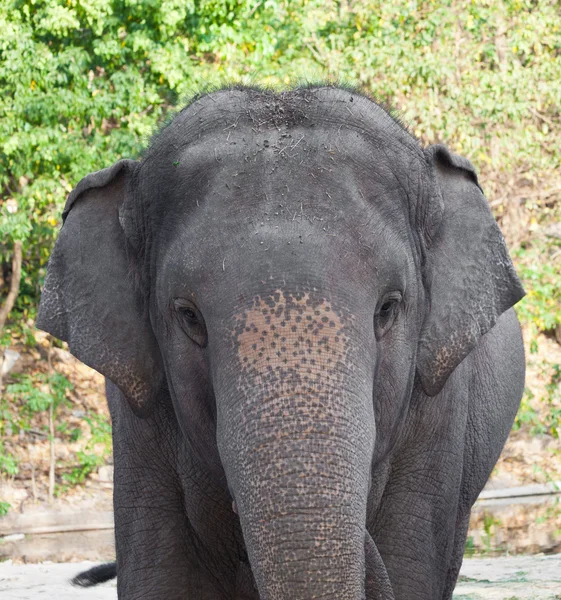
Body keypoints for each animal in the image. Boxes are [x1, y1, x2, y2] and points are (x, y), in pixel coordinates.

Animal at [37, 85, 524, 600]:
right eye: (189, 317)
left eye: (388, 309)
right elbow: (161, 575)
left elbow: (411, 565)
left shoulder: (439, 412)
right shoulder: (137, 421)